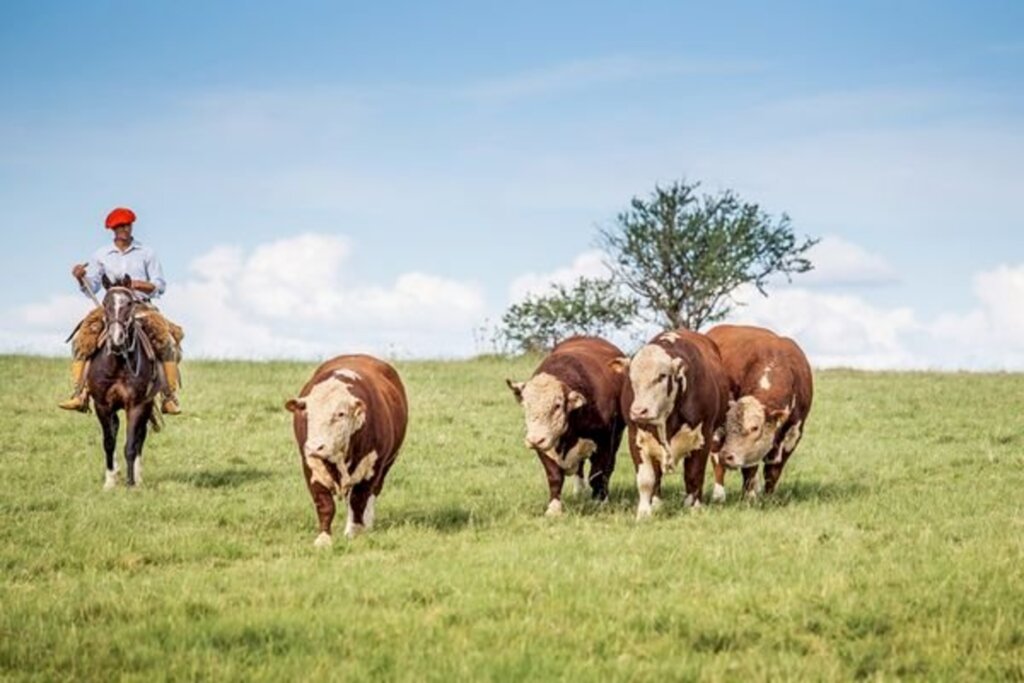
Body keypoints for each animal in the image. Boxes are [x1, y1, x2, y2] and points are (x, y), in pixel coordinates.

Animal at [87, 274, 165, 491]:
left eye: (129, 303)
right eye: (105, 303)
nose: (116, 339)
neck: (118, 365)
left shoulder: (136, 405)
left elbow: (131, 445)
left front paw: (131, 483)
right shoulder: (102, 405)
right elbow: (108, 442)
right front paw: (109, 481)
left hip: (147, 406)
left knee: (140, 438)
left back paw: (137, 478)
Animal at [284, 356, 407, 548]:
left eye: (340, 414)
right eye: (307, 414)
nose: (315, 447)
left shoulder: (371, 468)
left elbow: (359, 500)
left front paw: (354, 532)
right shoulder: (311, 467)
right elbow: (325, 504)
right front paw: (324, 538)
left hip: (388, 463)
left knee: (370, 494)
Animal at [507, 335, 626, 518]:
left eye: (557, 405)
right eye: (526, 404)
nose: (534, 439)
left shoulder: (605, 441)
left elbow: (598, 474)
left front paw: (599, 502)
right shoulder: (545, 446)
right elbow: (554, 476)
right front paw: (554, 508)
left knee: (607, 469)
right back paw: (579, 491)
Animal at [614, 329, 729, 518]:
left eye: (662, 376)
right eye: (631, 378)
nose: (639, 411)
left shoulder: (703, 436)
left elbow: (694, 475)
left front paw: (694, 507)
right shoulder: (635, 437)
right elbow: (646, 479)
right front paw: (644, 512)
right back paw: (656, 503)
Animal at [708, 325, 811, 501]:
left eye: (755, 428)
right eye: (728, 427)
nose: (727, 456)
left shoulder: (793, 433)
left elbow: (773, 470)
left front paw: (769, 497)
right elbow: (750, 468)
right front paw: (749, 497)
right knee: (716, 459)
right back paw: (719, 494)